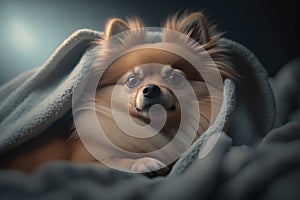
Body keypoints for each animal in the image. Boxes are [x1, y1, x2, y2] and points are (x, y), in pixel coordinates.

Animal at [0, 11, 234, 176]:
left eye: (174, 78)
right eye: (132, 81)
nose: (150, 89)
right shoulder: (81, 161)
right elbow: (113, 161)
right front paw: (144, 162)